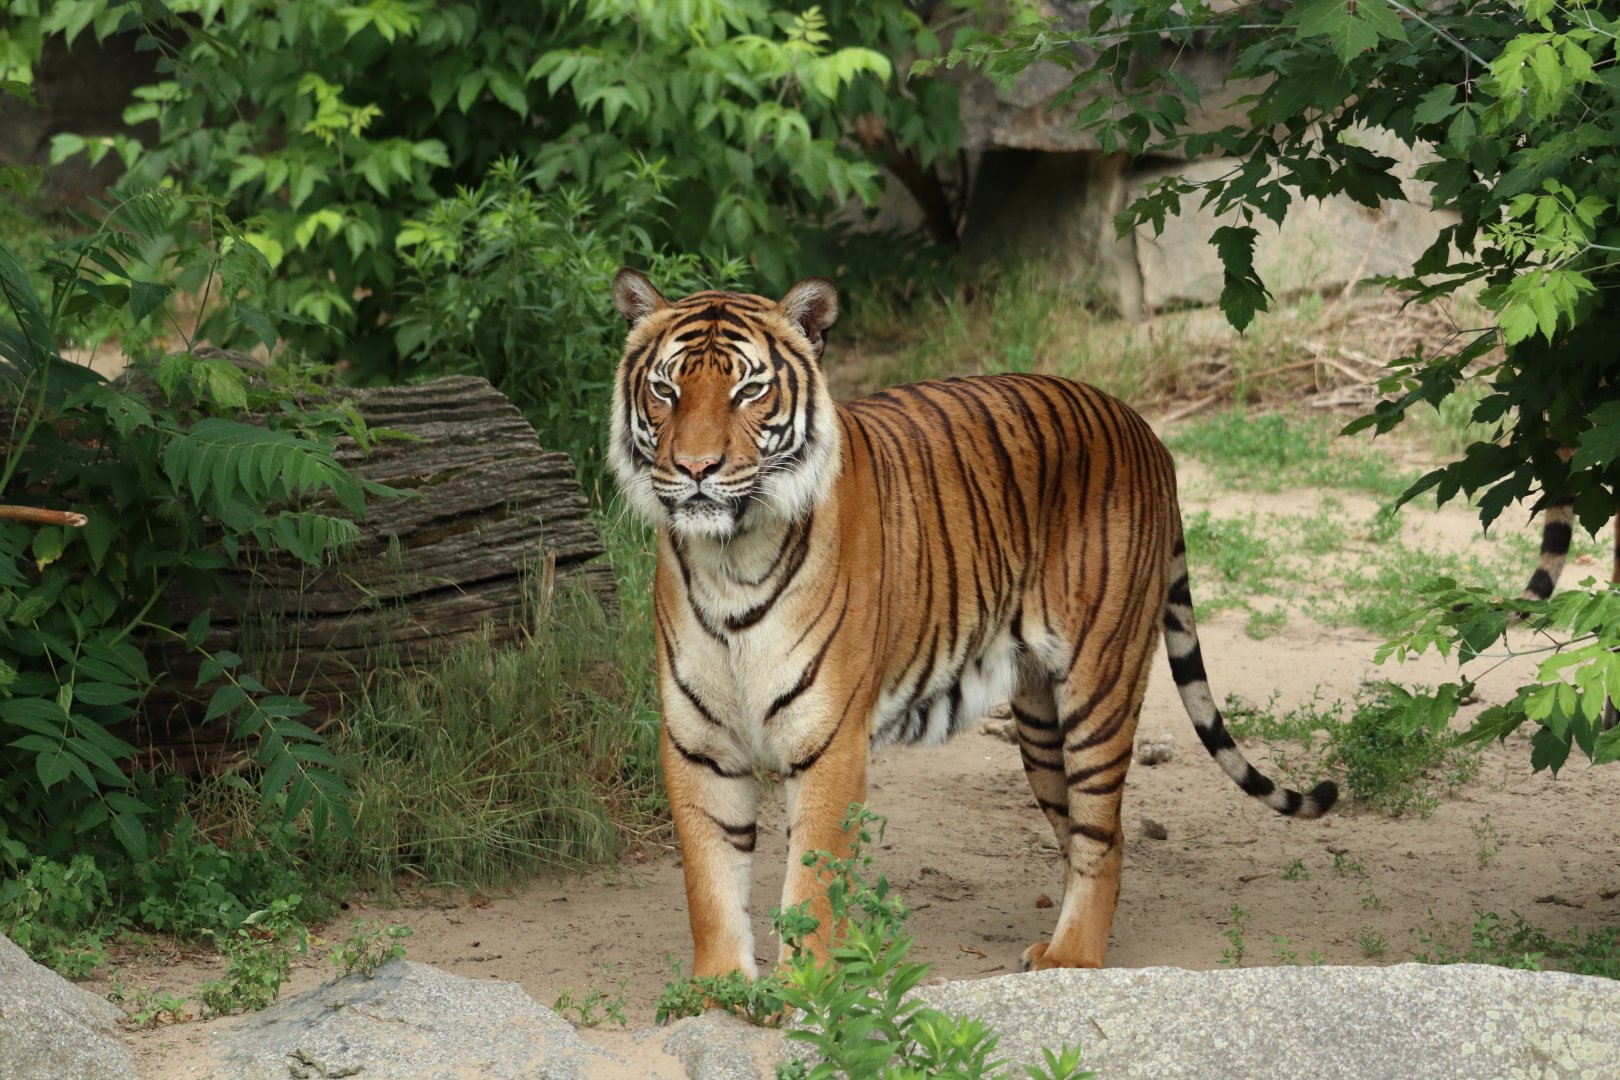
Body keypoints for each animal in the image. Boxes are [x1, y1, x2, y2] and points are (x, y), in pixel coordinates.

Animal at [608, 267, 1337, 978]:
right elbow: (710, 883)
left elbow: (811, 890)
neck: (728, 558)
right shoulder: (697, 741)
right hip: (1040, 720)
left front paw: (801, 998)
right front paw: (719, 995)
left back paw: (1073, 959)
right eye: (666, 390)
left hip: (1101, 685)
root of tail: (1146, 430)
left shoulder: (829, 741)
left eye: (749, 391)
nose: (695, 469)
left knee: (1102, 832)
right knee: (1087, 829)